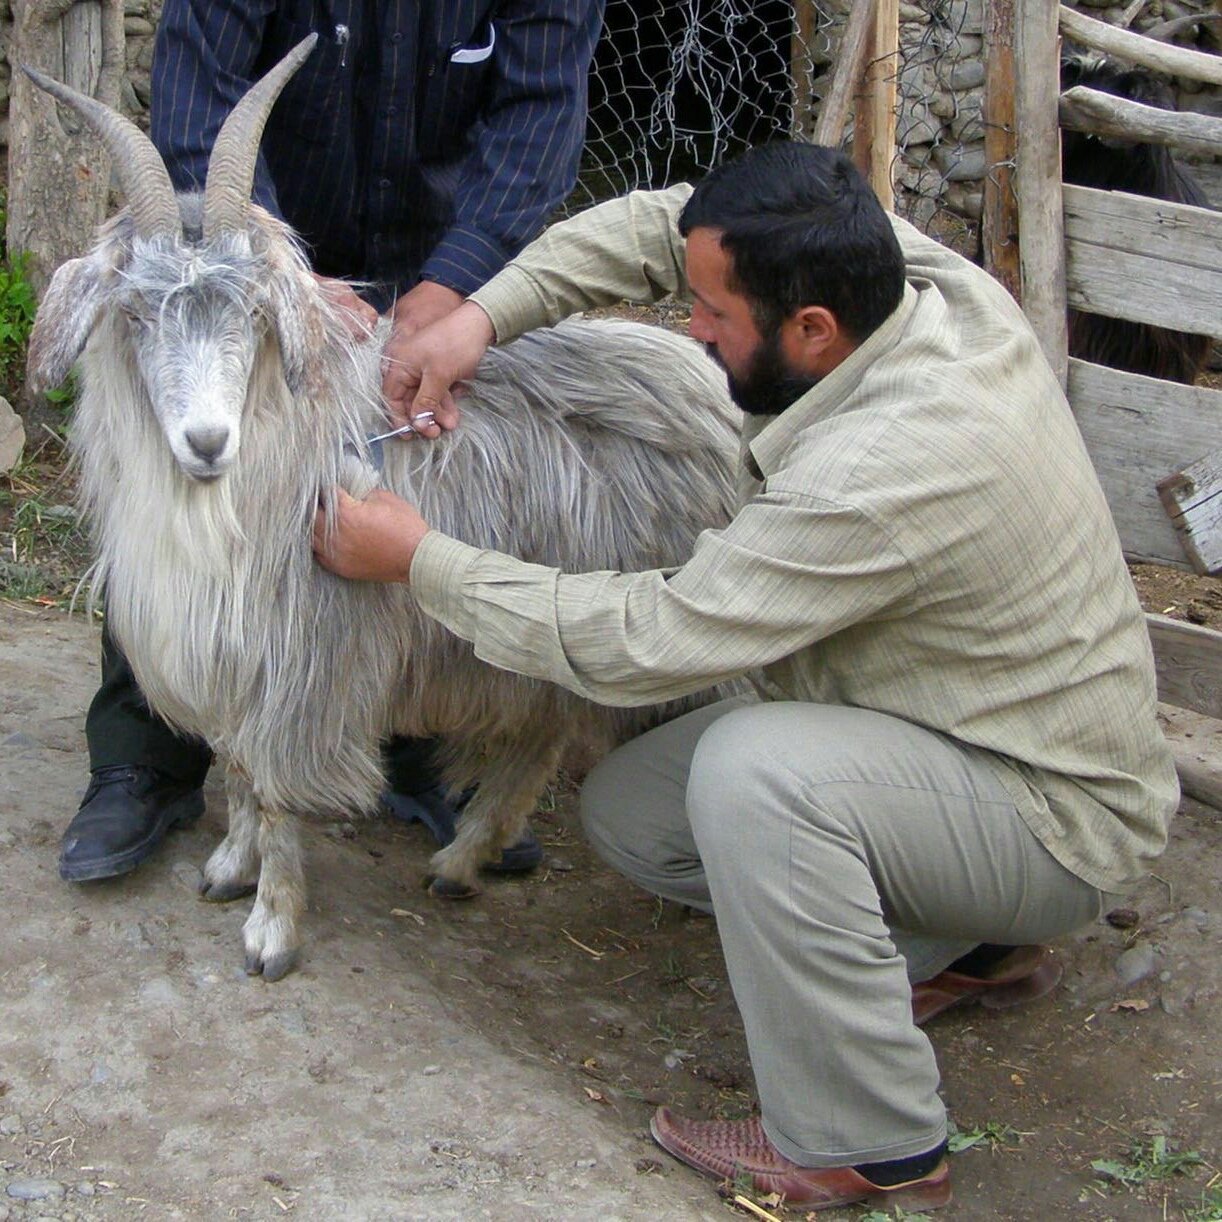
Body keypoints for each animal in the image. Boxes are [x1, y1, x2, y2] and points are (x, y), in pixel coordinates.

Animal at [23, 38, 738, 982]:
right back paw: (464, 861)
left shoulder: (306, 664)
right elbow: (241, 774)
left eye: (255, 311)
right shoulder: (239, 661)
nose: (207, 441)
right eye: (137, 312)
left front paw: (272, 927)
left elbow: (276, 791)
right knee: (541, 732)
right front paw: (229, 867)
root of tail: (708, 379)